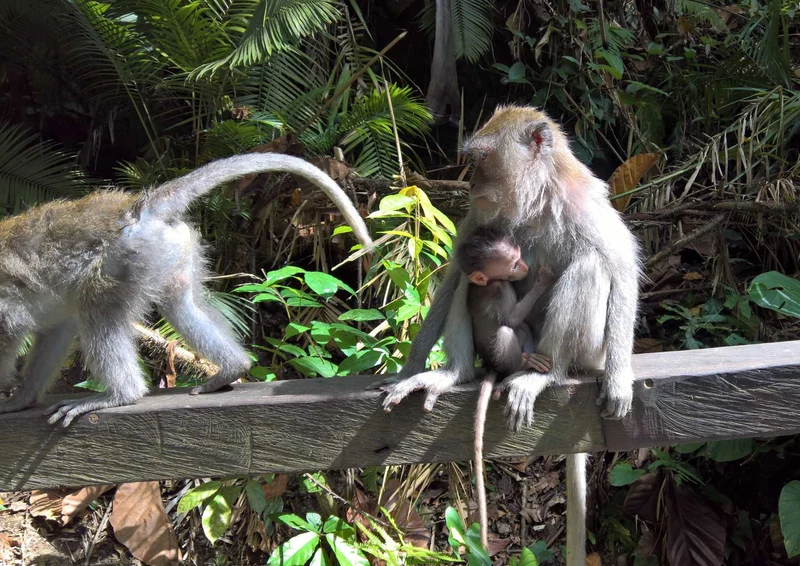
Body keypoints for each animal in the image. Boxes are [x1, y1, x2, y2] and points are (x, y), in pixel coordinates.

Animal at [0, 153, 373, 427]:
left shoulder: (5, 309)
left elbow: (12, 336)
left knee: (97, 308)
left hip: (125, 257)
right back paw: (233, 366)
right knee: (177, 304)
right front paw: (23, 398)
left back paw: (121, 395)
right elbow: (56, 329)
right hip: (167, 251)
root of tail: (139, 207)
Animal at [455, 225, 556, 548]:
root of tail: (493, 366)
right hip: (500, 356)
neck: (495, 281)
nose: (524, 268)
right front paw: (543, 281)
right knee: (506, 331)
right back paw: (522, 364)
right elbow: (509, 318)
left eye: (520, 257)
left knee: (519, 329)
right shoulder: (497, 289)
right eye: (512, 264)